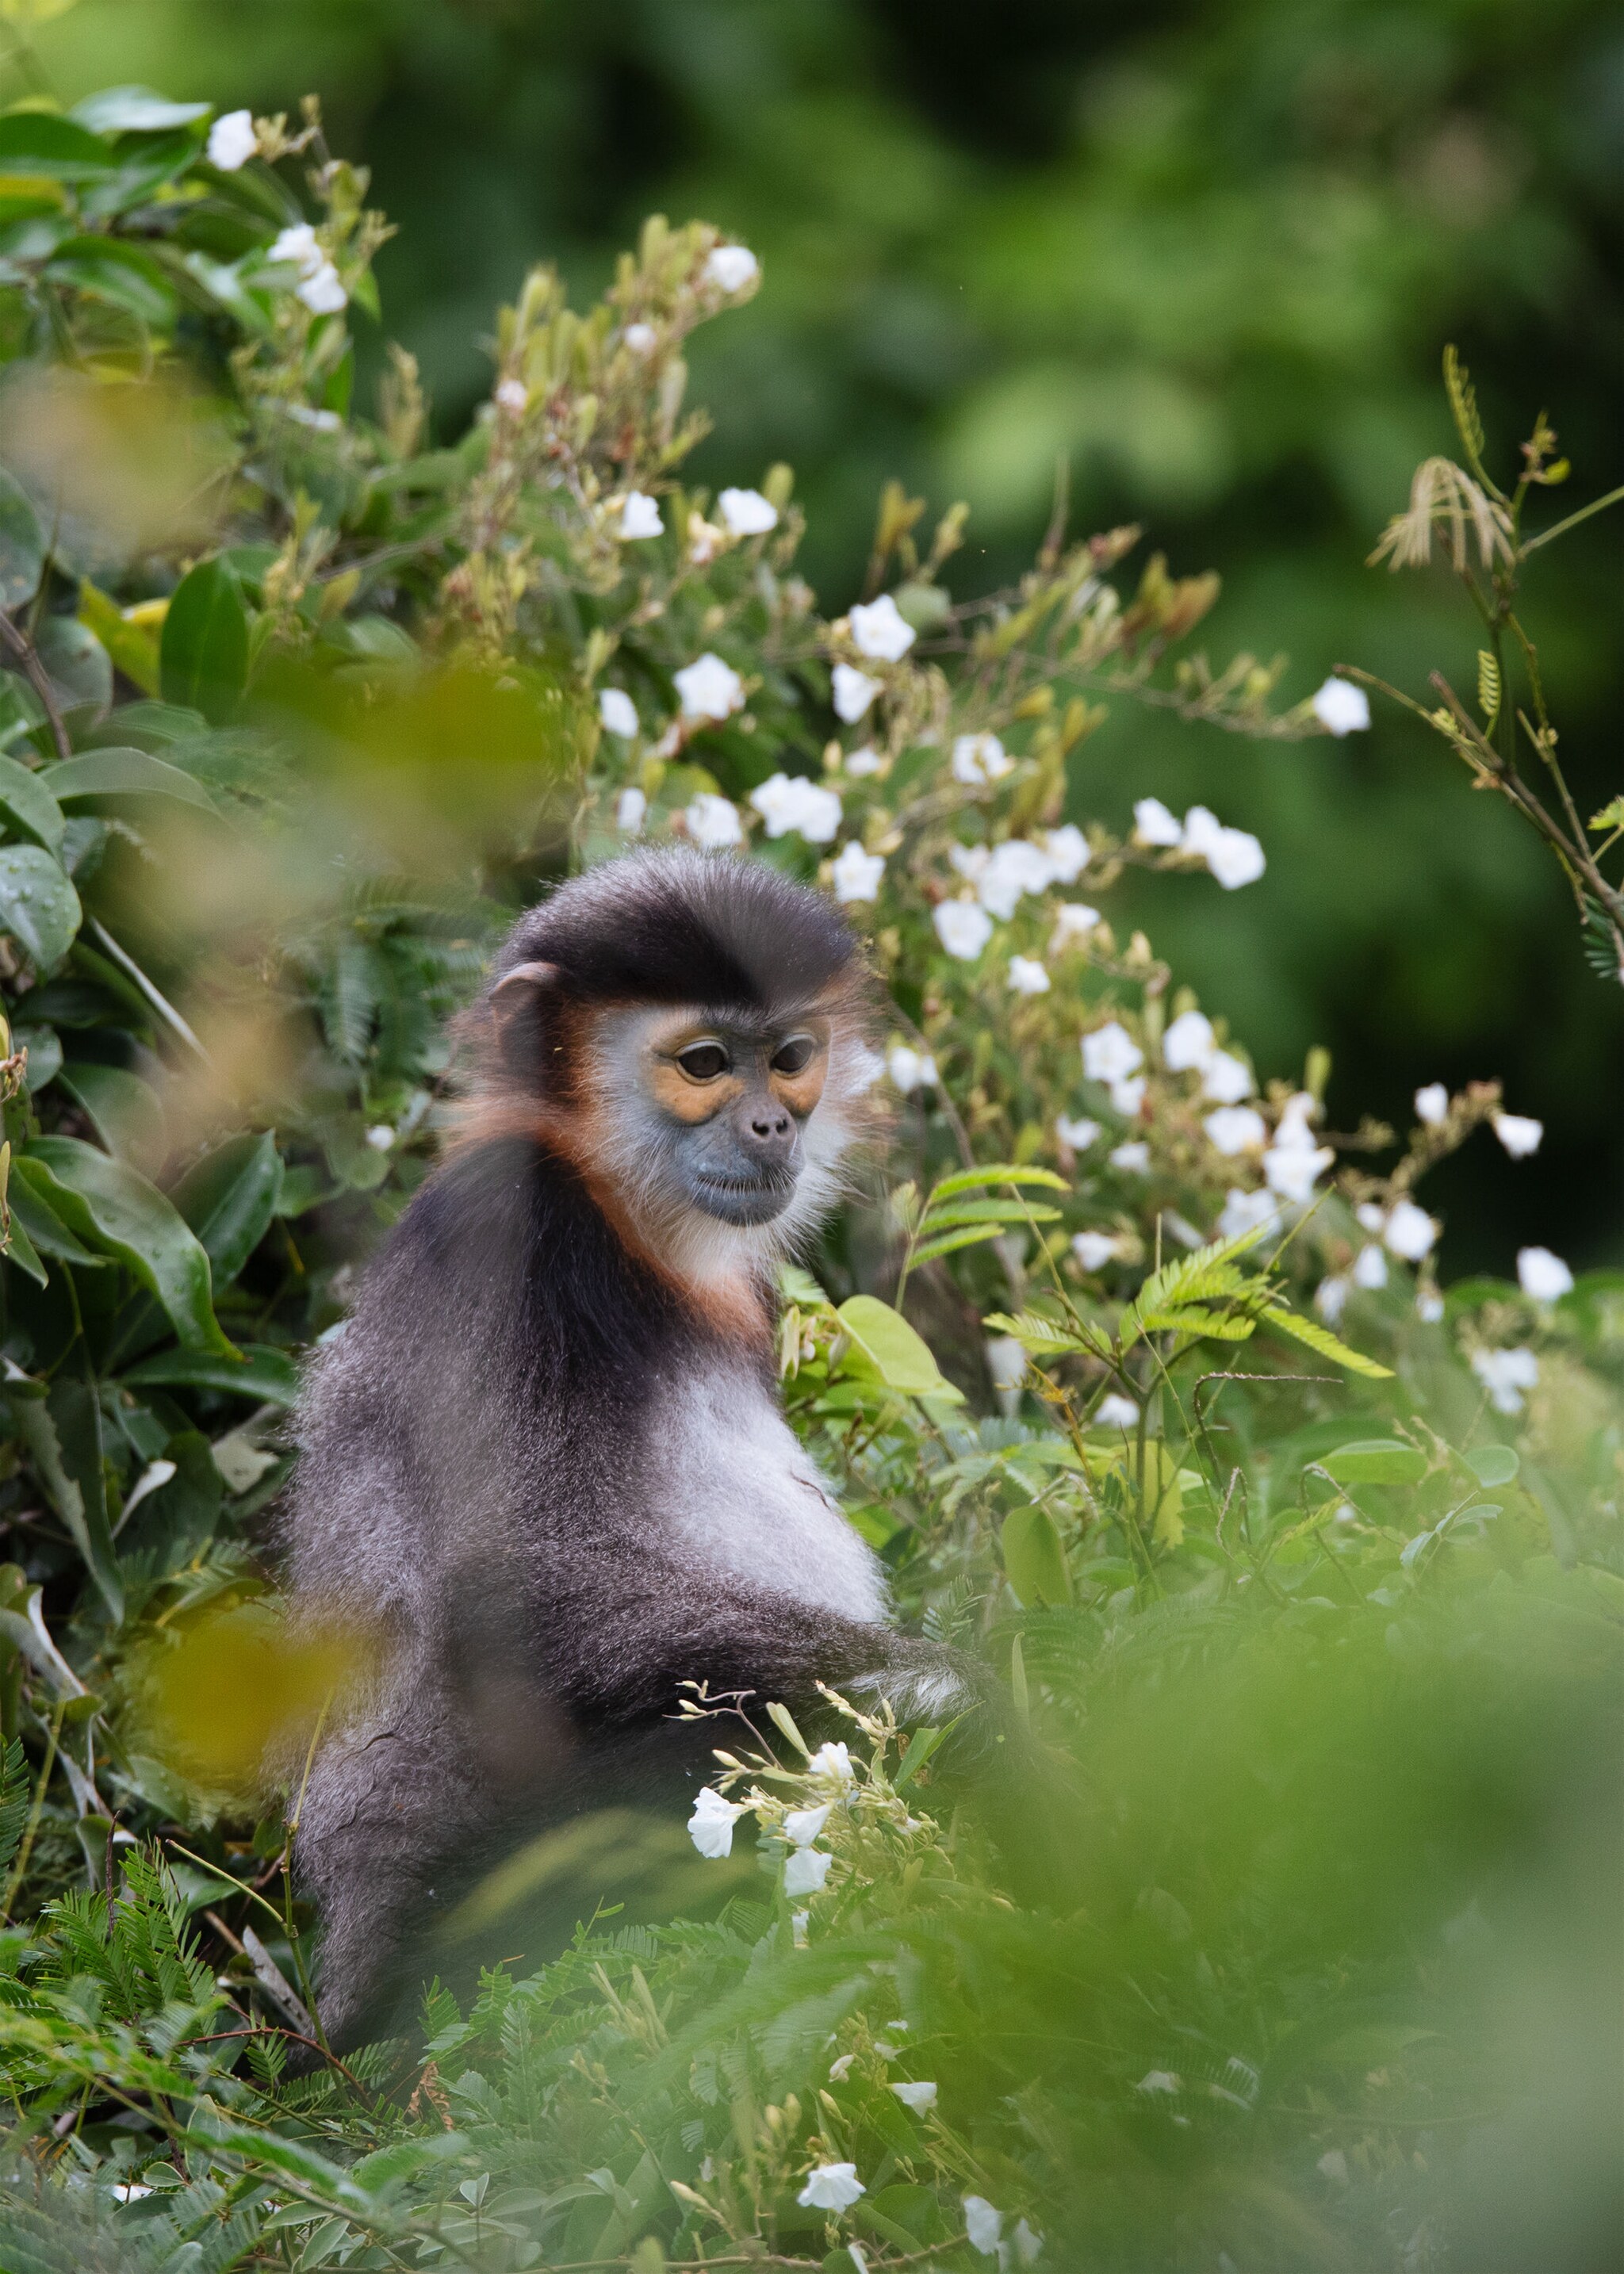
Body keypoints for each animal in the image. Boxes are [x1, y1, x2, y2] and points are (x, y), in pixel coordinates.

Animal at [284, 845, 983, 2049]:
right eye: (704, 1063)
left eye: (787, 1059)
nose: (773, 1127)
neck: (622, 1213)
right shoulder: (519, 1241)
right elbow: (527, 1595)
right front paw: (987, 1683)